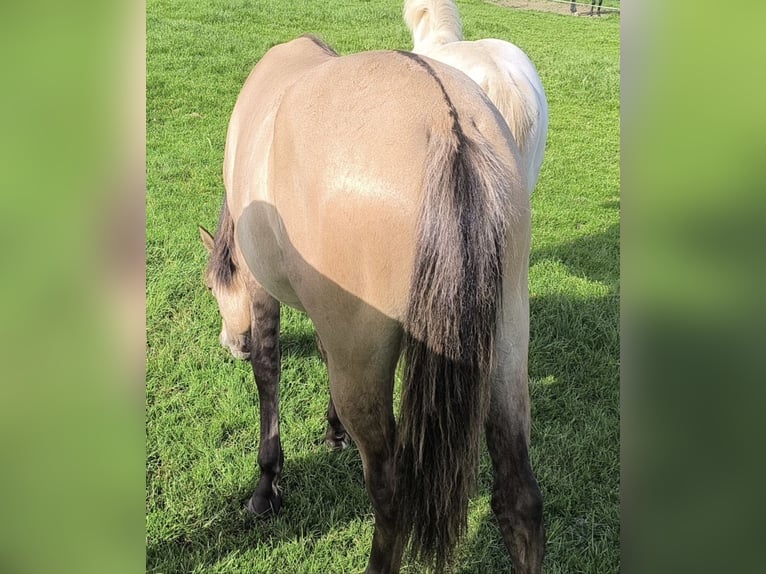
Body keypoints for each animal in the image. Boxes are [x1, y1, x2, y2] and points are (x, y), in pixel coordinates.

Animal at [198, 35, 544, 573]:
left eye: (213, 287)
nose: (230, 344)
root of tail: (447, 125)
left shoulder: (261, 289)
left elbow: (268, 372)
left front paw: (266, 485)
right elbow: (319, 352)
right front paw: (333, 431)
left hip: (364, 363)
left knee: (392, 497)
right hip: (506, 340)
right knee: (519, 499)